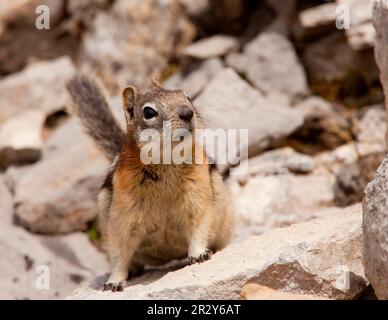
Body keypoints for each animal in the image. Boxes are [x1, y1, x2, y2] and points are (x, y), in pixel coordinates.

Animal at [66, 76, 233, 292]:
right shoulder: (123, 215)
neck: (166, 162)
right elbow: (119, 250)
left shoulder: (197, 195)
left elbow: (199, 226)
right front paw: (114, 281)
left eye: (187, 97)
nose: (187, 112)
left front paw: (199, 254)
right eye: (149, 112)